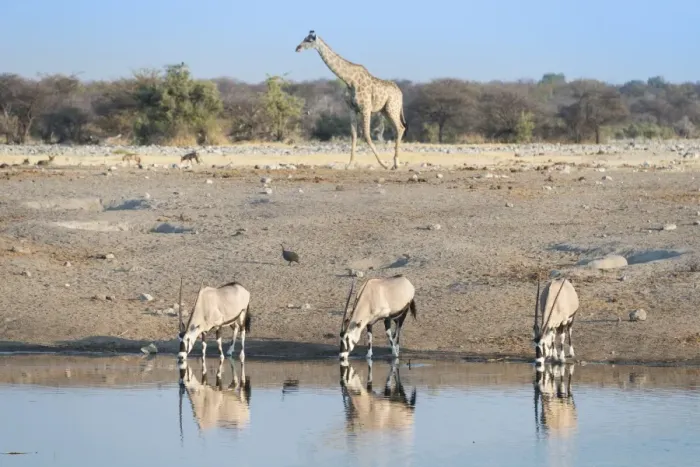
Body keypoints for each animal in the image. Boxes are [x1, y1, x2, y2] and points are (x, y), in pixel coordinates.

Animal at [296, 30, 407, 170]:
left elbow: (367, 135)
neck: (349, 80)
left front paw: (383, 164)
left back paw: (396, 163)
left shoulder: (366, 108)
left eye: (309, 40)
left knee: (400, 128)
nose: (297, 48)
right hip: (385, 111)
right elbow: (354, 135)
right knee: (398, 128)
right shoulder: (352, 109)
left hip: (392, 108)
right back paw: (395, 163)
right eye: (304, 38)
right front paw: (350, 164)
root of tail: (400, 93)